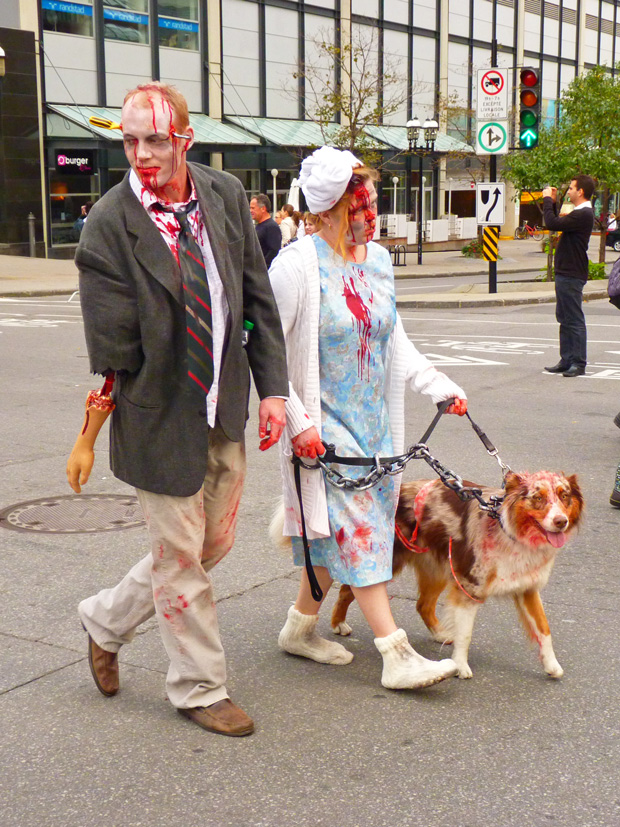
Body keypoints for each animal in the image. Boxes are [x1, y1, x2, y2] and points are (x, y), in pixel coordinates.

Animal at [332, 472, 584, 680]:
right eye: (537, 498)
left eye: (564, 496)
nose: (561, 521)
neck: (509, 531)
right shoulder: (470, 587)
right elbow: (466, 635)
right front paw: (461, 666)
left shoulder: (528, 588)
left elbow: (544, 629)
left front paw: (552, 665)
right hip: (390, 562)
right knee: (348, 589)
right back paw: (338, 623)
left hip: (437, 569)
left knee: (423, 604)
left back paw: (439, 633)